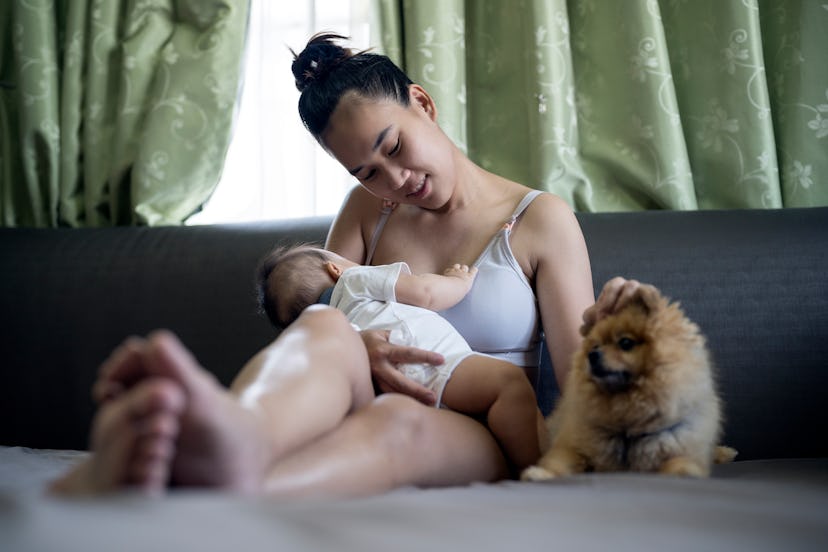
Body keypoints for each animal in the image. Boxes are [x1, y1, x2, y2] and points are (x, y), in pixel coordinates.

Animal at [520, 284, 736, 478]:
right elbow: (559, 461)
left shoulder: (679, 444)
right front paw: (539, 473)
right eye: (595, 346)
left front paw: (685, 472)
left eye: (625, 343)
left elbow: (680, 462)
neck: (627, 423)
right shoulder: (572, 444)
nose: (593, 355)